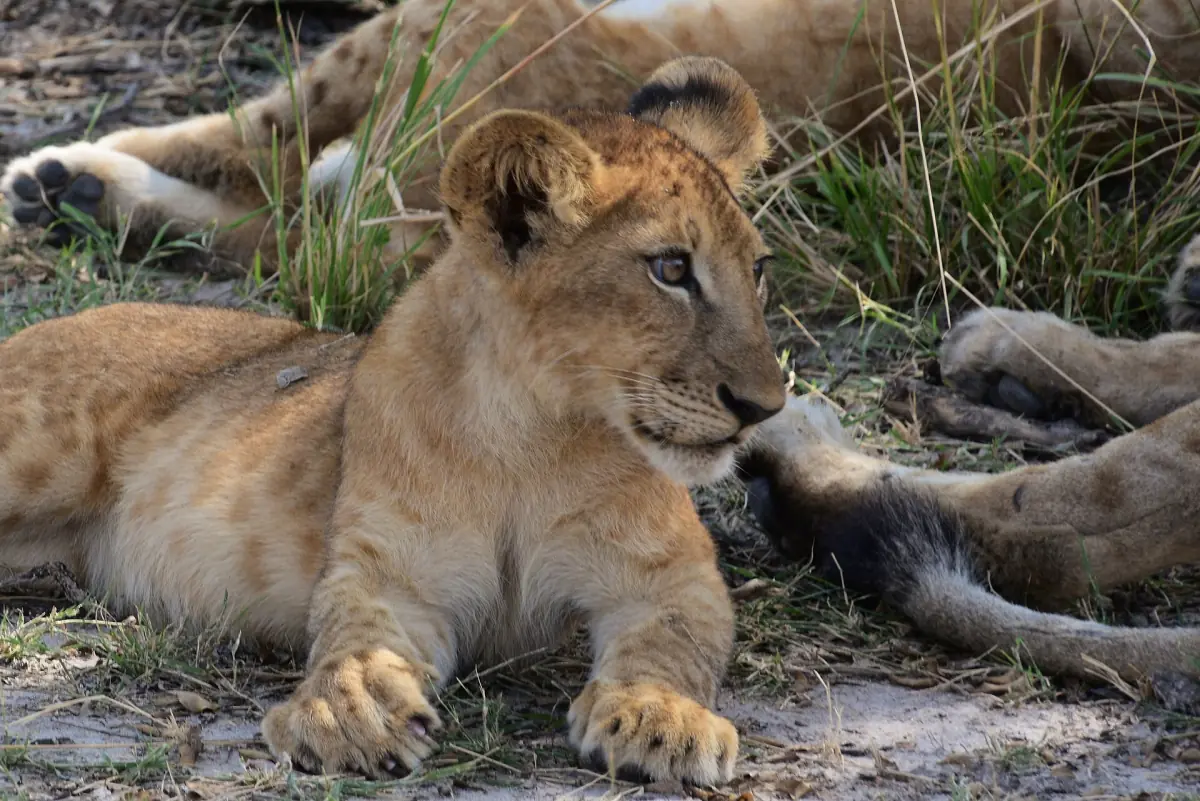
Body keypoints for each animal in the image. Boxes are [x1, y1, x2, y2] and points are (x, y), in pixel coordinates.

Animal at [0, 56, 788, 783]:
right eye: (670, 269)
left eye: (757, 269)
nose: (765, 408)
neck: (530, 434)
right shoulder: (391, 568)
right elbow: (357, 639)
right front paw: (349, 712)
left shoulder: (673, 574)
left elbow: (673, 643)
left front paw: (662, 716)